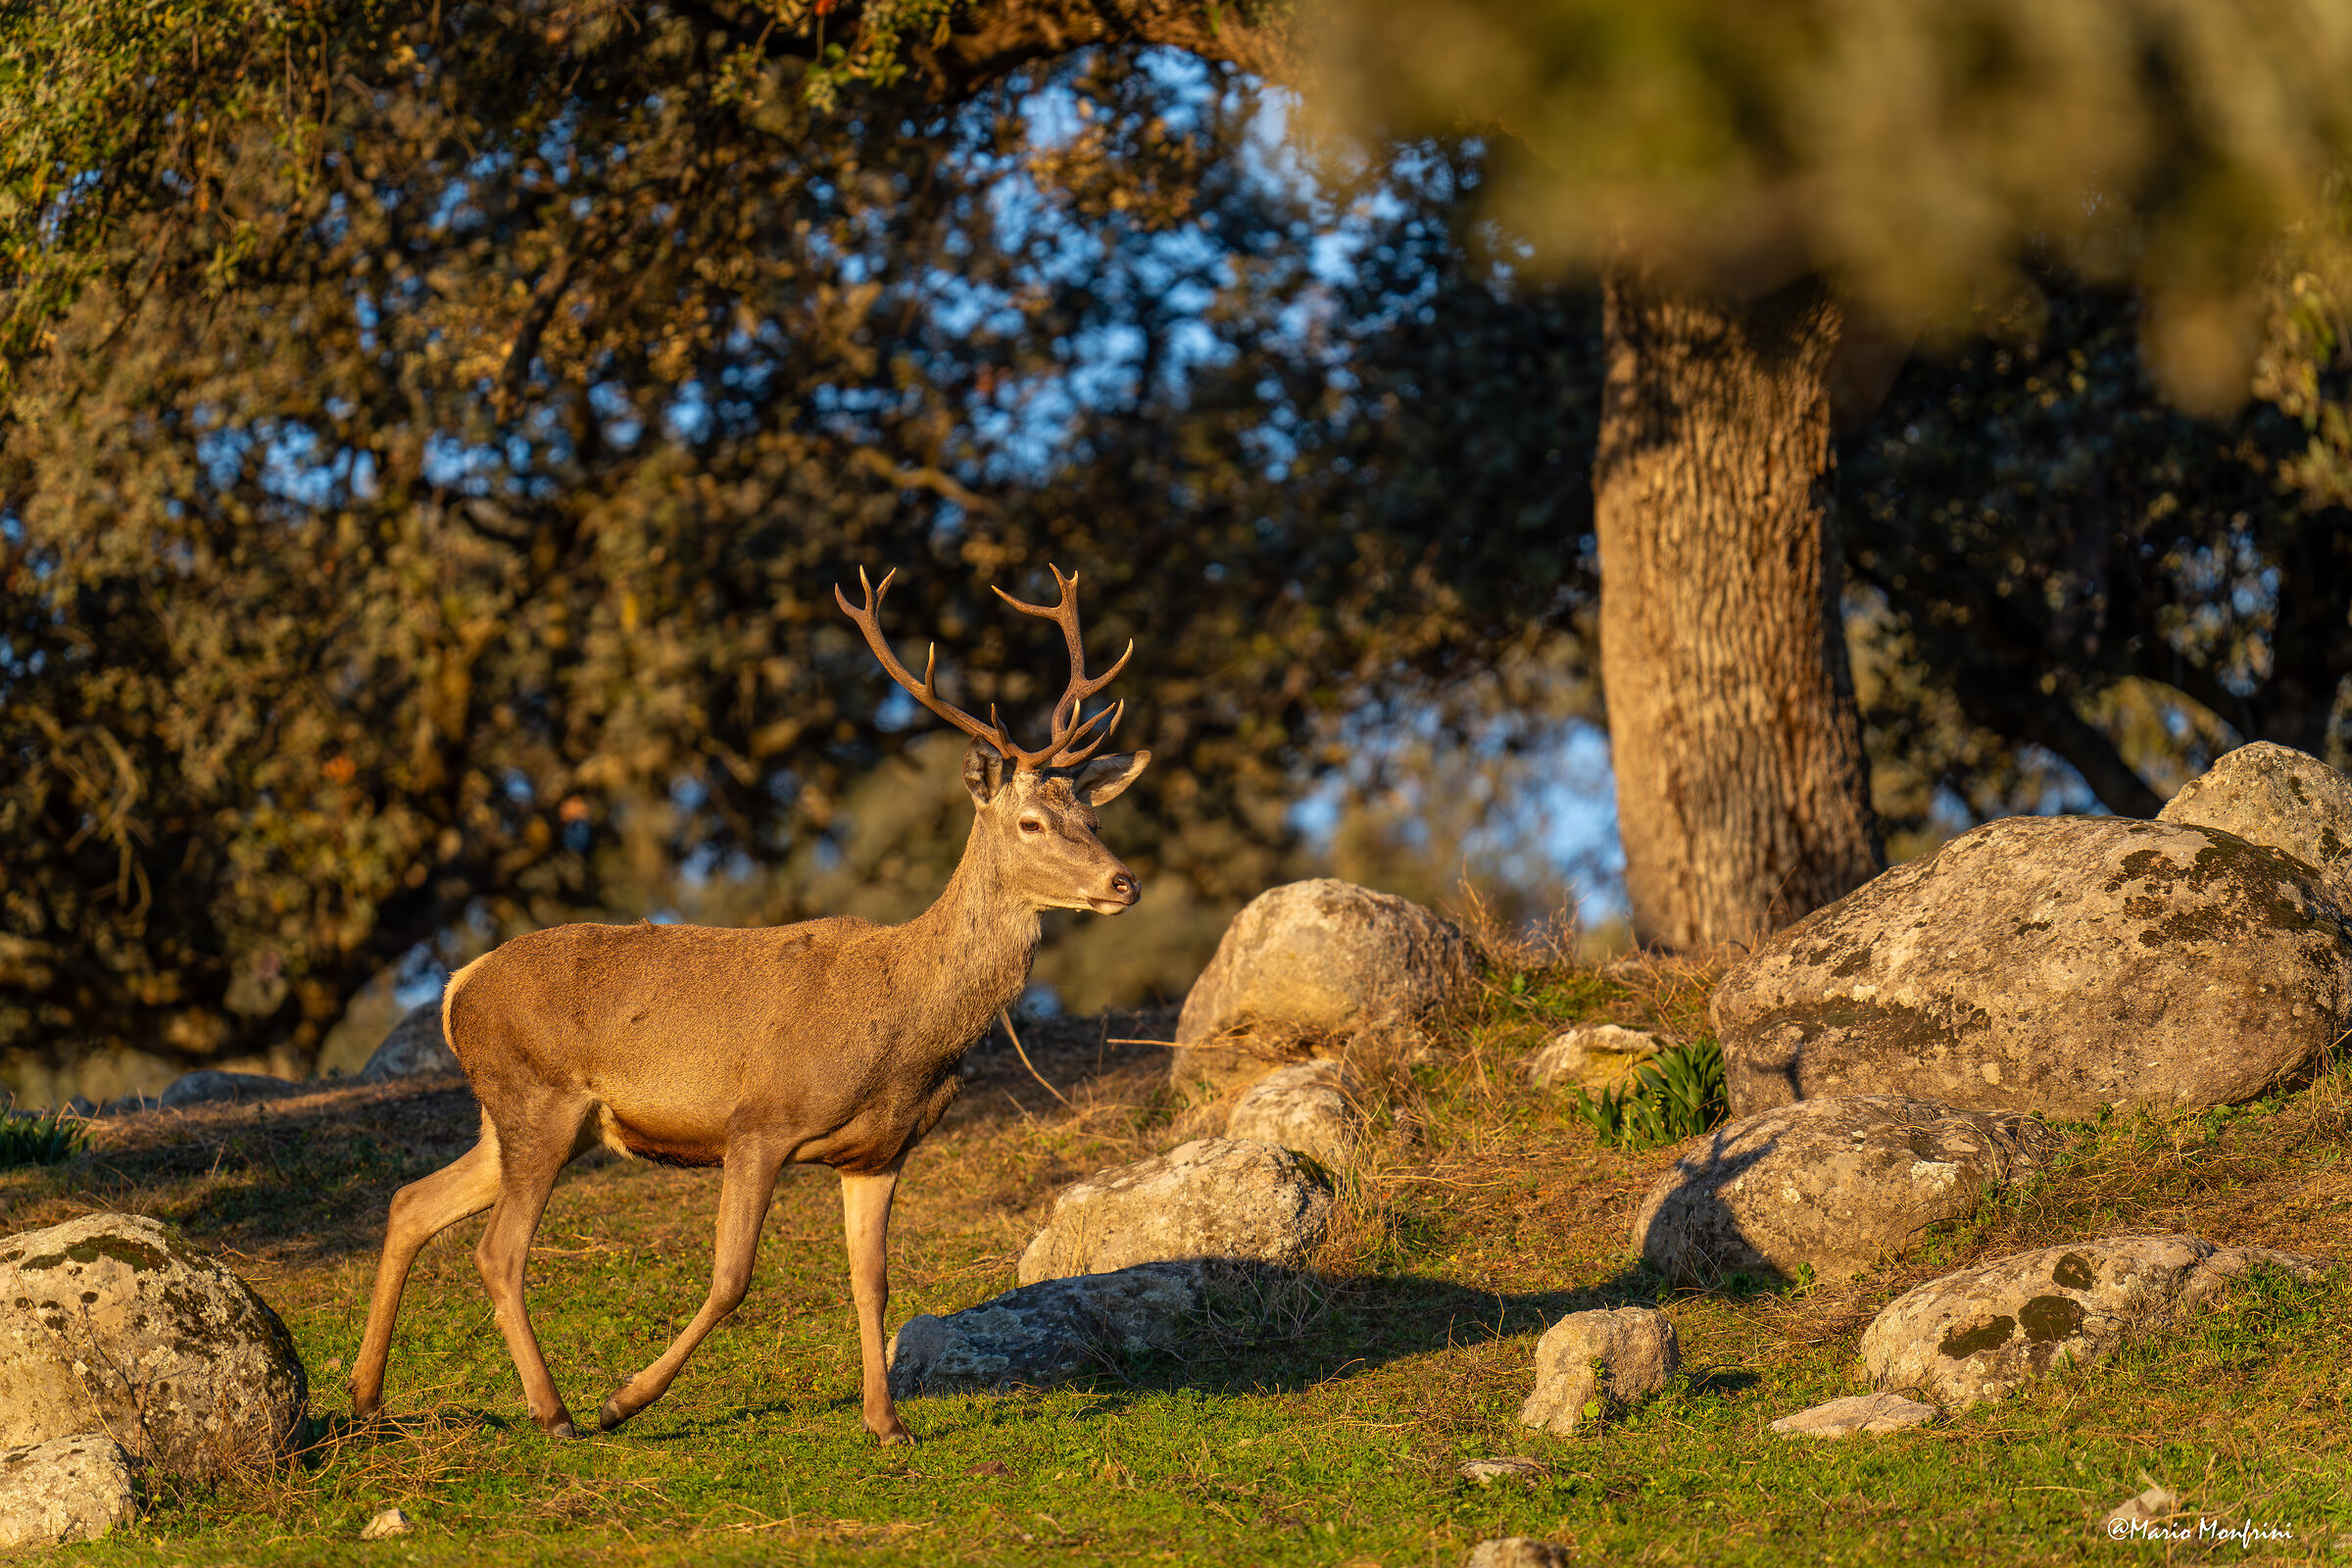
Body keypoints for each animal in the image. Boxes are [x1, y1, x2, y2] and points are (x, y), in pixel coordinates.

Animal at [347, 565, 1150, 1444]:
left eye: (1094, 814)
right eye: (1032, 821)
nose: (1124, 882)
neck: (906, 1029)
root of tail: (458, 986)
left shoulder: (881, 1152)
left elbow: (872, 1282)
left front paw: (886, 1424)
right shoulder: (759, 1121)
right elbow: (733, 1278)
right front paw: (626, 1399)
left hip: (521, 1120)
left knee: (410, 1202)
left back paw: (366, 1395)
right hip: (537, 1098)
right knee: (497, 1250)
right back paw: (555, 1412)